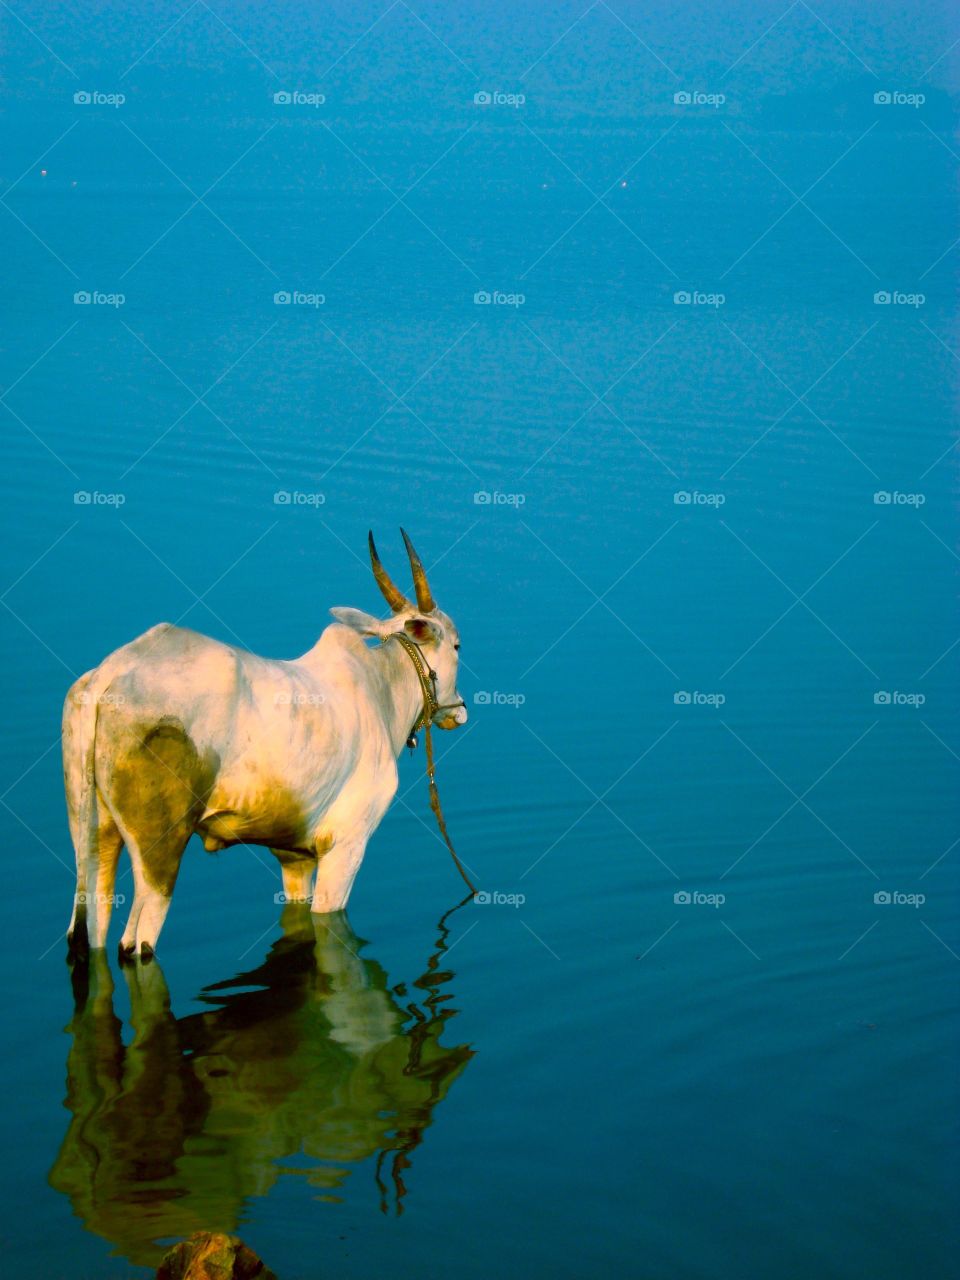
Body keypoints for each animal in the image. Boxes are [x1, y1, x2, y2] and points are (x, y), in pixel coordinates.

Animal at [62, 530, 467, 960]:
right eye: (458, 645)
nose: (458, 711)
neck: (381, 688)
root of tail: (111, 673)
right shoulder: (346, 847)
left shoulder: (295, 856)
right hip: (160, 856)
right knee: (136, 944)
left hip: (92, 839)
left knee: (91, 924)